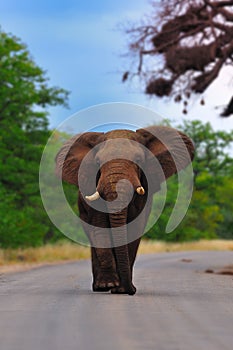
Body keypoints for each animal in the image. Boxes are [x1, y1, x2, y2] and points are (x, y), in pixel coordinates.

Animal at [55, 126, 194, 296]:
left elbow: (134, 228)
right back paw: (100, 287)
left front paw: (121, 289)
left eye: (139, 160)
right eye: (97, 163)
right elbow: (100, 228)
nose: (131, 291)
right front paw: (108, 285)